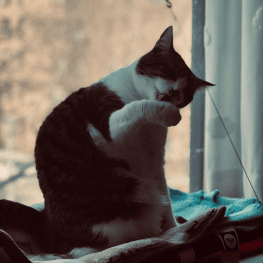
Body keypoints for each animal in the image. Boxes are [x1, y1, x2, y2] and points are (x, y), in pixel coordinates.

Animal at [0, 25, 214, 260]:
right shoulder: (111, 129)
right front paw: (170, 113)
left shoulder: (155, 161)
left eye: (186, 91)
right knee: (80, 251)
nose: (175, 92)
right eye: (169, 71)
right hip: (110, 229)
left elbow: (166, 198)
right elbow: (136, 108)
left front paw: (174, 230)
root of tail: (46, 224)